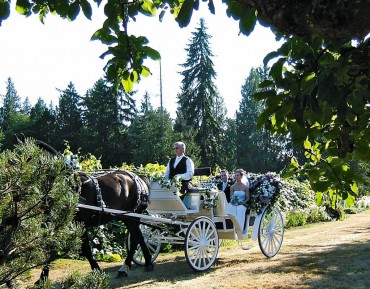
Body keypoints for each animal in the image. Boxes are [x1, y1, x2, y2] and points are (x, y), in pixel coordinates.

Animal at [15, 136, 154, 284]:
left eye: (25, 157)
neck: (67, 186)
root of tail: (139, 178)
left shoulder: (80, 222)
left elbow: (85, 248)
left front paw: (97, 270)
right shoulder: (54, 223)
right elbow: (50, 247)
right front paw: (43, 278)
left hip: (132, 216)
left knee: (135, 239)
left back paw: (127, 267)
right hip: (127, 217)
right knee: (139, 237)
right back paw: (146, 262)